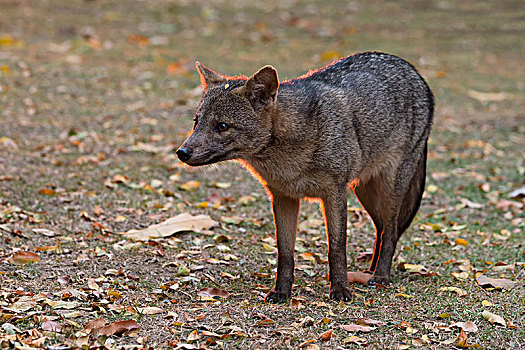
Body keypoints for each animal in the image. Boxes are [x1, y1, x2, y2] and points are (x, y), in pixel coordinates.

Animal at [176, 51, 434, 300]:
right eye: (196, 122)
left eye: (222, 126)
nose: (182, 152)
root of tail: (415, 73)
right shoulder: (283, 197)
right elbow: (285, 252)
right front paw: (282, 292)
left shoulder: (335, 193)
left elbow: (336, 248)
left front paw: (340, 290)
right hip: (365, 192)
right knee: (382, 231)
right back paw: (371, 270)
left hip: (389, 190)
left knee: (390, 232)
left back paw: (380, 276)